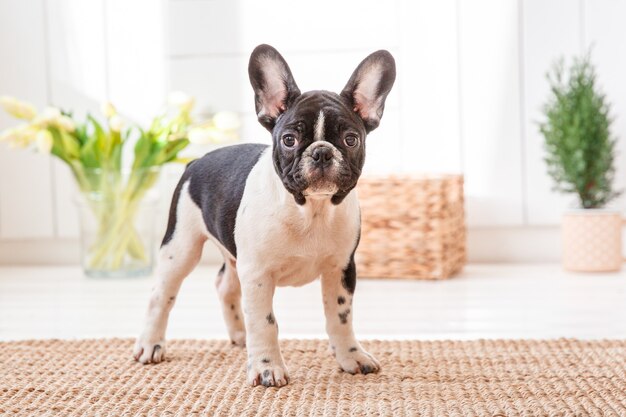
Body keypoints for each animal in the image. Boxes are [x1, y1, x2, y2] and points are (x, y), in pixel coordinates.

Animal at [133, 43, 392, 386]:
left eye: (351, 139)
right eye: (289, 140)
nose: (322, 152)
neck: (311, 209)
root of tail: (196, 160)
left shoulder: (340, 268)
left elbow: (340, 317)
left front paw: (352, 356)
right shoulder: (257, 274)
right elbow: (265, 322)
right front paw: (267, 367)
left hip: (233, 256)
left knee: (224, 285)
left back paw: (239, 335)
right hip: (180, 247)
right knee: (160, 295)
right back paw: (151, 344)